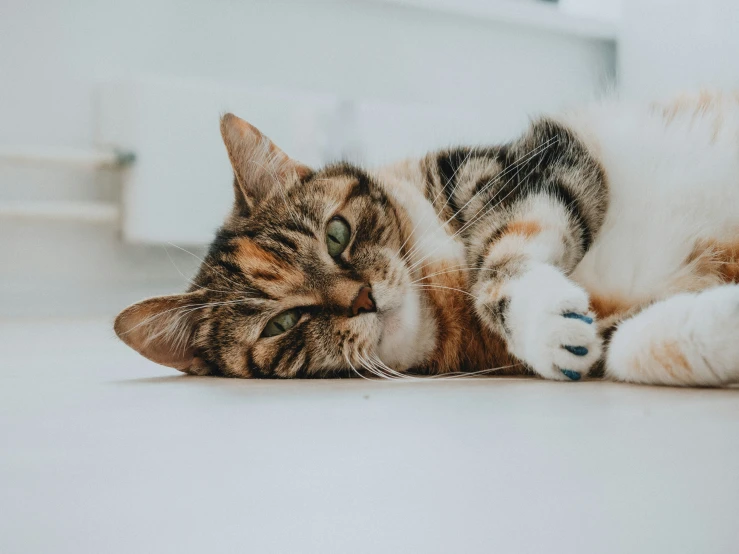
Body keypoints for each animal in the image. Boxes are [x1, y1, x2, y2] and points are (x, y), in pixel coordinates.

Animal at [112, 90, 739, 384]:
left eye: (336, 233)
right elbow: (627, 343)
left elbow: (501, 262)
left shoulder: (535, 162)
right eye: (282, 324)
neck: (443, 287)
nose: (363, 298)